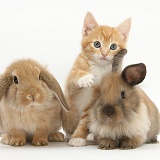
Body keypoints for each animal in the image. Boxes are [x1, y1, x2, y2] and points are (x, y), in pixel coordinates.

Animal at [61, 12, 131, 142]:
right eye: (97, 44)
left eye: (113, 46)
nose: (104, 54)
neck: (99, 66)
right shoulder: (70, 85)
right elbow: (75, 75)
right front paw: (86, 78)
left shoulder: (96, 98)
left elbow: (87, 119)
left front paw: (78, 138)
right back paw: (69, 135)